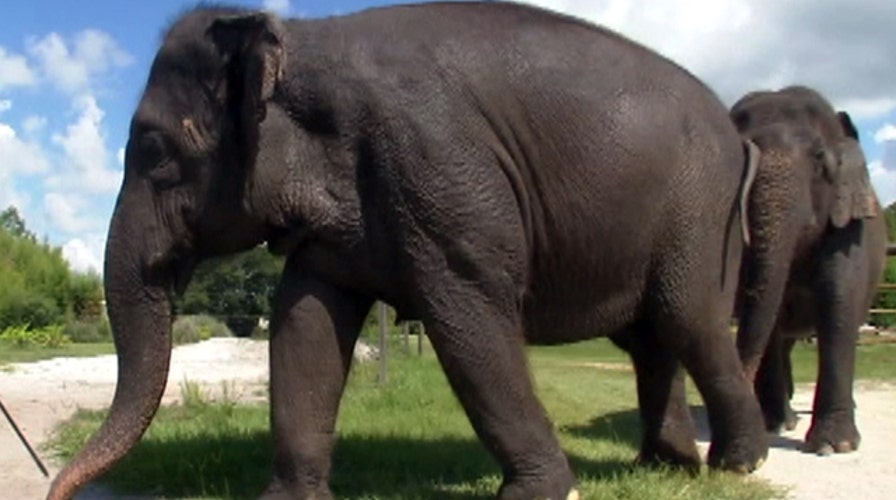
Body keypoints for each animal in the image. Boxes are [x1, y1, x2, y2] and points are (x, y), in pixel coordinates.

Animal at [47, 3, 768, 499]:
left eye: (152, 149)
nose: (57, 489)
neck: (303, 41)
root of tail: (738, 134)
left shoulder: (435, 160)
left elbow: (469, 317)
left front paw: (543, 493)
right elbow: (304, 325)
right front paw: (287, 498)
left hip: (700, 212)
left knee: (689, 320)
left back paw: (738, 465)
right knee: (651, 339)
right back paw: (663, 465)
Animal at [731, 86, 887, 454]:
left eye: (819, 158)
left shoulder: (847, 229)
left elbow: (838, 305)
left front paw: (835, 446)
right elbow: (767, 314)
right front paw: (773, 426)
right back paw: (783, 415)